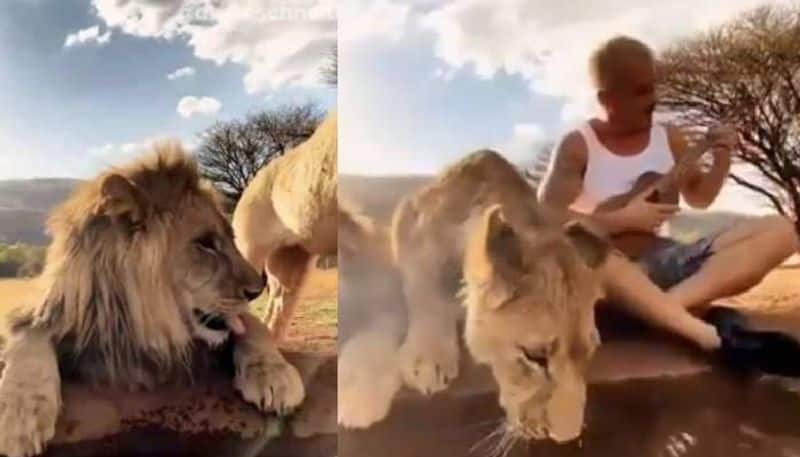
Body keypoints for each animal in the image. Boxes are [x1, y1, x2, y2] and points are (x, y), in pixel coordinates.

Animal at [0, 145, 304, 456]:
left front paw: (276, 377)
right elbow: (28, 344)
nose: (258, 288)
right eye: (205, 243)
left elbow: (255, 330)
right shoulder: (49, 312)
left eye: (230, 238)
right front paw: (19, 418)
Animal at [390, 149, 608, 438]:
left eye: (590, 350)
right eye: (535, 356)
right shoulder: (411, 224)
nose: (567, 437)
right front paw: (426, 360)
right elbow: (424, 289)